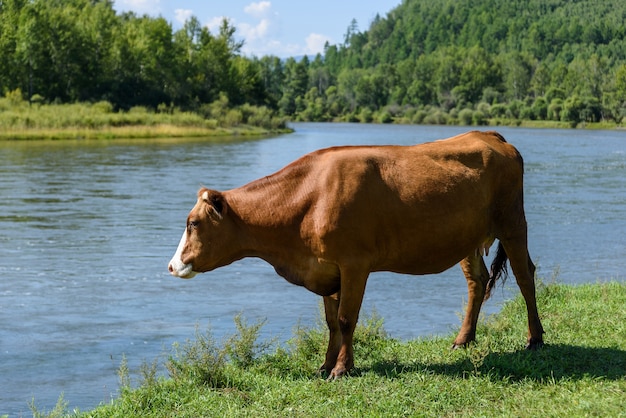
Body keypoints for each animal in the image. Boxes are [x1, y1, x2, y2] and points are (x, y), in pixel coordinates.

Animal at [169, 131, 540, 378]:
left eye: (193, 222)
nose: (172, 266)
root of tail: (489, 135)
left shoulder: (354, 264)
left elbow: (347, 319)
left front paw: (342, 369)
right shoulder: (326, 267)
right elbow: (332, 321)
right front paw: (325, 365)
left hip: (513, 223)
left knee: (525, 277)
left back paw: (535, 339)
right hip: (469, 239)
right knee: (477, 282)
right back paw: (463, 340)